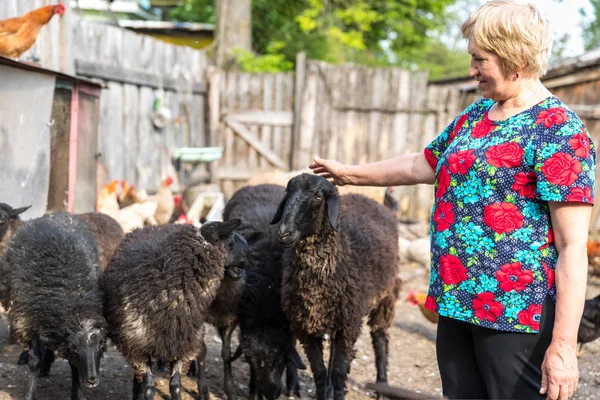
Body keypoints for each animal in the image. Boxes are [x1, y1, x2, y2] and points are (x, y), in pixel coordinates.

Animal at [4, 212, 107, 400]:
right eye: (74, 347)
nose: (92, 380)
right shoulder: (27, 323)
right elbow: (35, 361)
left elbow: (73, 366)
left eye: (101, 344)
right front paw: (30, 394)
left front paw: (78, 394)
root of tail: (55, 214)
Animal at [101, 219, 244, 400]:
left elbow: (175, 385)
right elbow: (148, 387)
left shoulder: (184, 346)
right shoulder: (136, 347)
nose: (247, 257)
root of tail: (153, 225)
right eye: (230, 239)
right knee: (138, 380)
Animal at [270, 173, 400, 400]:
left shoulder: (348, 324)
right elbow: (320, 373)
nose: (285, 234)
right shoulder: (307, 326)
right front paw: (323, 393)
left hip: (386, 295)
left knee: (380, 336)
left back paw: (382, 385)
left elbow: (339, 374)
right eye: (288, 192)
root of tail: (372, 201)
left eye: (318, 197)